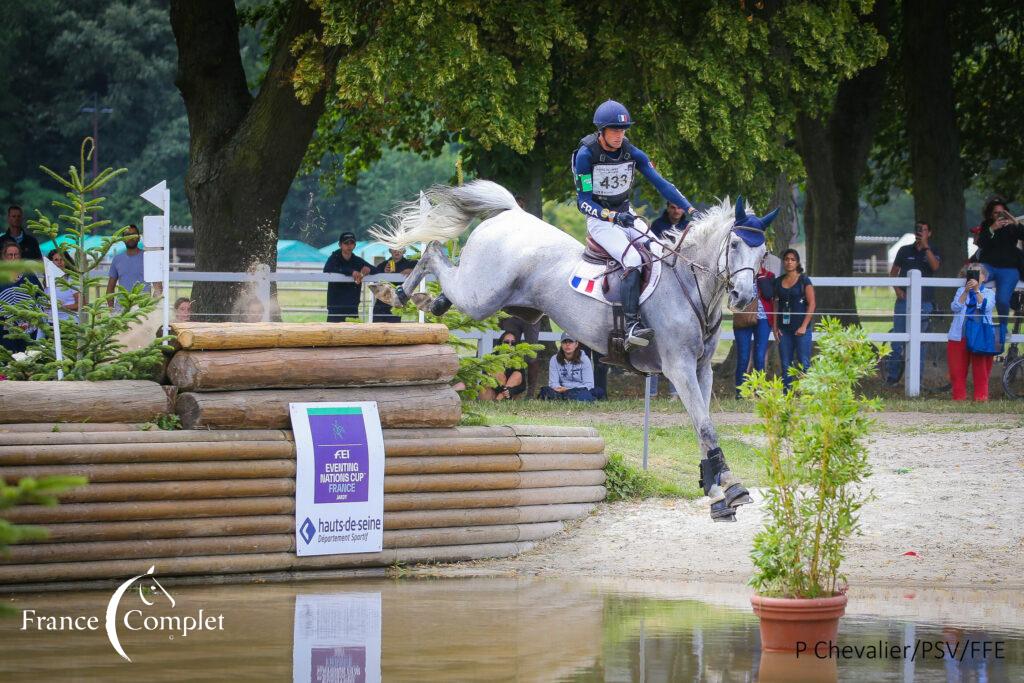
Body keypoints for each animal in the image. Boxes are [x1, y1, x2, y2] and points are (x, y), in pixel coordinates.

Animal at [372, 179, 770, 520]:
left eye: (763, 252)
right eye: (735, 245)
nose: (743, 297)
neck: (690, 283)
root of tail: (510, 213)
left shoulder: (701, 369)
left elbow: (704, 425)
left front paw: (716, 489)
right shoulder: (679, 367)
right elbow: (705, 427)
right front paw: (728, 490)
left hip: (485, 297)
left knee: (444, 276)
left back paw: (426, 300)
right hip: (481, 296)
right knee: (433, 251)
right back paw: (396, 292)